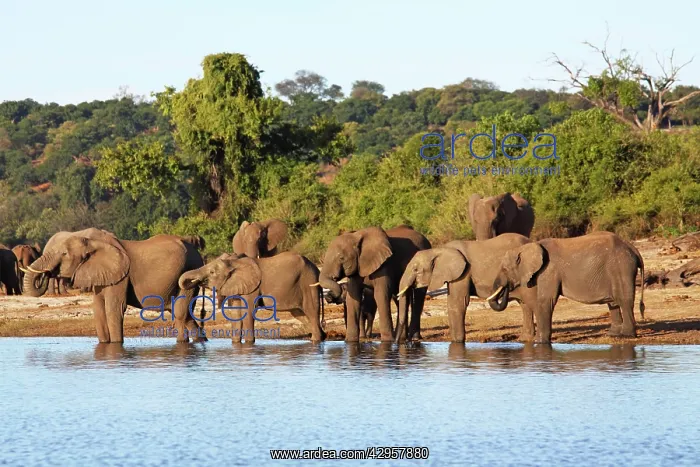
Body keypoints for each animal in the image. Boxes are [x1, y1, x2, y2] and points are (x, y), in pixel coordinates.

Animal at [22, 229, 206, 343]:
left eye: (64, 254)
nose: (48, 272)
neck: (92, 242)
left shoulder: (121, 277)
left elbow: (114, 308)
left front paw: (117, 345)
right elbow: (98, 308)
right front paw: (105, 344)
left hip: (189, 270)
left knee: (181, 312)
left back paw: (183, 342)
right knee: (184, 313)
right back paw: (200, 341)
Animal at [178, 251, 326, 343]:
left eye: (212, 272)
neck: (235, 263)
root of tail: (316, 268)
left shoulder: (252, 288)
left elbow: (248, 312)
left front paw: (249, 343)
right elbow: (236, 314)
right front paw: (236, 343)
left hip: (308, 282)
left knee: (311, 312)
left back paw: (316, 340)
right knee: (300, 315)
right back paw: (321, 337)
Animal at [397, 233, 533, 342]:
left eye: (415, 270)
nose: (402, 342)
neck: (438, 251)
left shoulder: (463, 272)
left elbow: (457, 303)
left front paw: (457, 342)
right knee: (525, 305)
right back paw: (524, 339)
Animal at [487, 231, 646, 343]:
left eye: (505, 269)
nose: (507, 288)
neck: (528, 247)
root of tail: (633, 248)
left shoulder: (549, 270)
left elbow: (546, 300)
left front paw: (539, 342)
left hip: (621, 267)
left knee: (624, 300)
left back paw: (626, 335)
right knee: (613, 301)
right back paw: (613, 334)